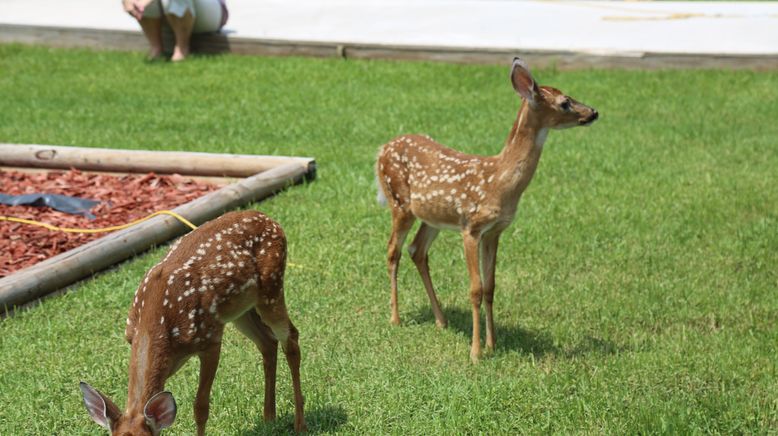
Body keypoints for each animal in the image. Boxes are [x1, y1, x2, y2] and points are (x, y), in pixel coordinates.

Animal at [79, 210, 306, 432]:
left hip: (271, 290)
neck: (157, 325)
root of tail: (270, 220)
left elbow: (200, 407)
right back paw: (269, 417)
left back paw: (300, 424)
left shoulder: (211, 339)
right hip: (242, 310)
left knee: (291, 339)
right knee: (268, 343)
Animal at [372, 58, 596, 362]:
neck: (499, 182)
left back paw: (441, 320)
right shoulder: (471, 227)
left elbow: (491, 287)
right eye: (565, 102)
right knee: (392, 250)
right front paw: (476, 352)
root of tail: (382, 149)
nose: (593, 112)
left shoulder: (495, 231)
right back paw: (395, 318)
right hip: (399, 203)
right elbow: (475, 290)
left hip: (433, 217)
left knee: (416, 250)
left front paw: (492, 344)